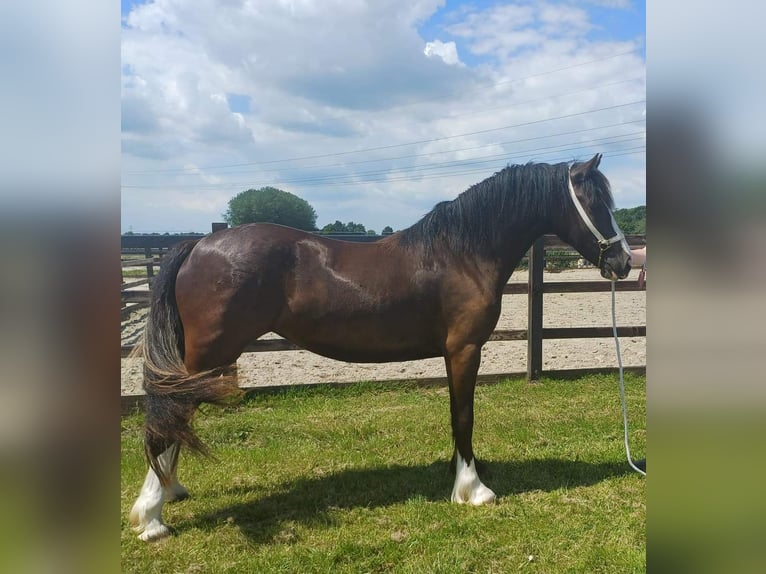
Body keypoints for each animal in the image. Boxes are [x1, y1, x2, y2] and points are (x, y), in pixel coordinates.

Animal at [132, 153, 632, 540]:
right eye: (595, 202)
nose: (624, 262)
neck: (461, 253)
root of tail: (200, 245)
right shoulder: (464, 350)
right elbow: (463, 417)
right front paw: (472, 489)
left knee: (175, 419)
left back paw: (169, 491)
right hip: (207, 357)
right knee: (169, 417)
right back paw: (153, 517)